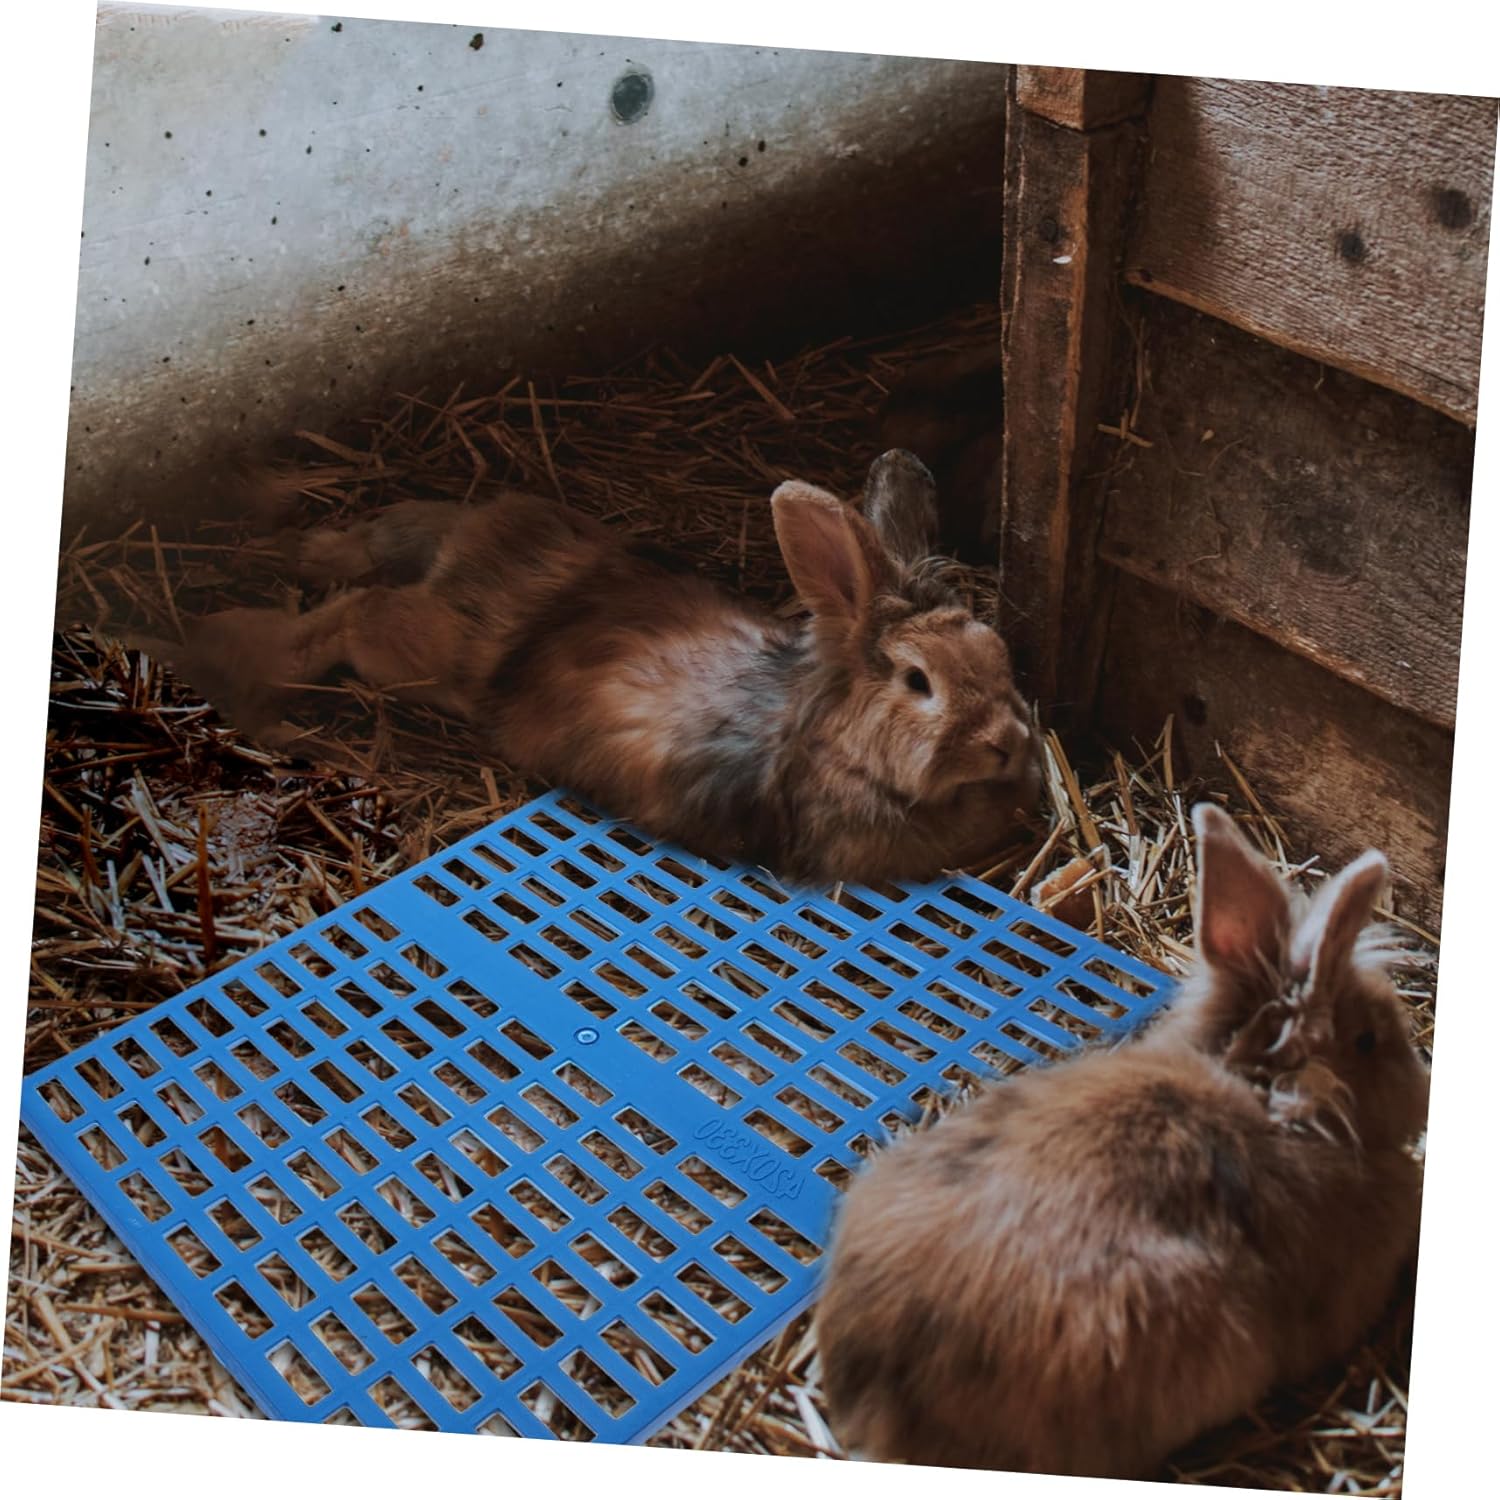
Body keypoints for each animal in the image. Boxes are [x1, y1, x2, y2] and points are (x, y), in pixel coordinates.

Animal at [170, 449, 1040, 886]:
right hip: (420, 654)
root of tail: (480, 545)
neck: (836, 743)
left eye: (996, 655)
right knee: (356, 612)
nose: (1008, 744)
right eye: (918, 683)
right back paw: (268, 684)